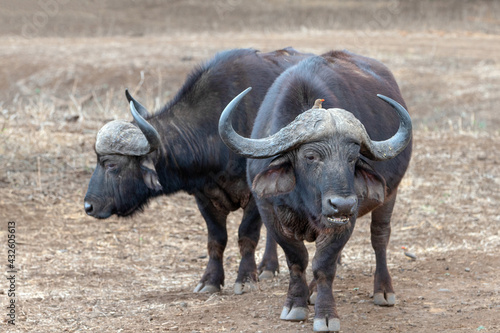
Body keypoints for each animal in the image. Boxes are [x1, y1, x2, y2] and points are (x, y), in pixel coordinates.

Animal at [85, 47, 312, 294]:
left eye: (111, 163)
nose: (89, 206)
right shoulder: (204, 196)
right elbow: (216, 239)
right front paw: (210, 280)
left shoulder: (254, 194)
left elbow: (246, 234)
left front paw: (245, 278)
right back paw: (268, 267)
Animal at [221, 50, 412, 330]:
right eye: (310, 156)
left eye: (352, 158)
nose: (342, 204)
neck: (307, 201)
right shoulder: (268, 211)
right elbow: (297, 258)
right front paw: (295, 305)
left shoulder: (345, 220)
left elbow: (324, 264)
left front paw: (326, 314)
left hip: (389, 195)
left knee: (379, 237)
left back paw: (383, 290)